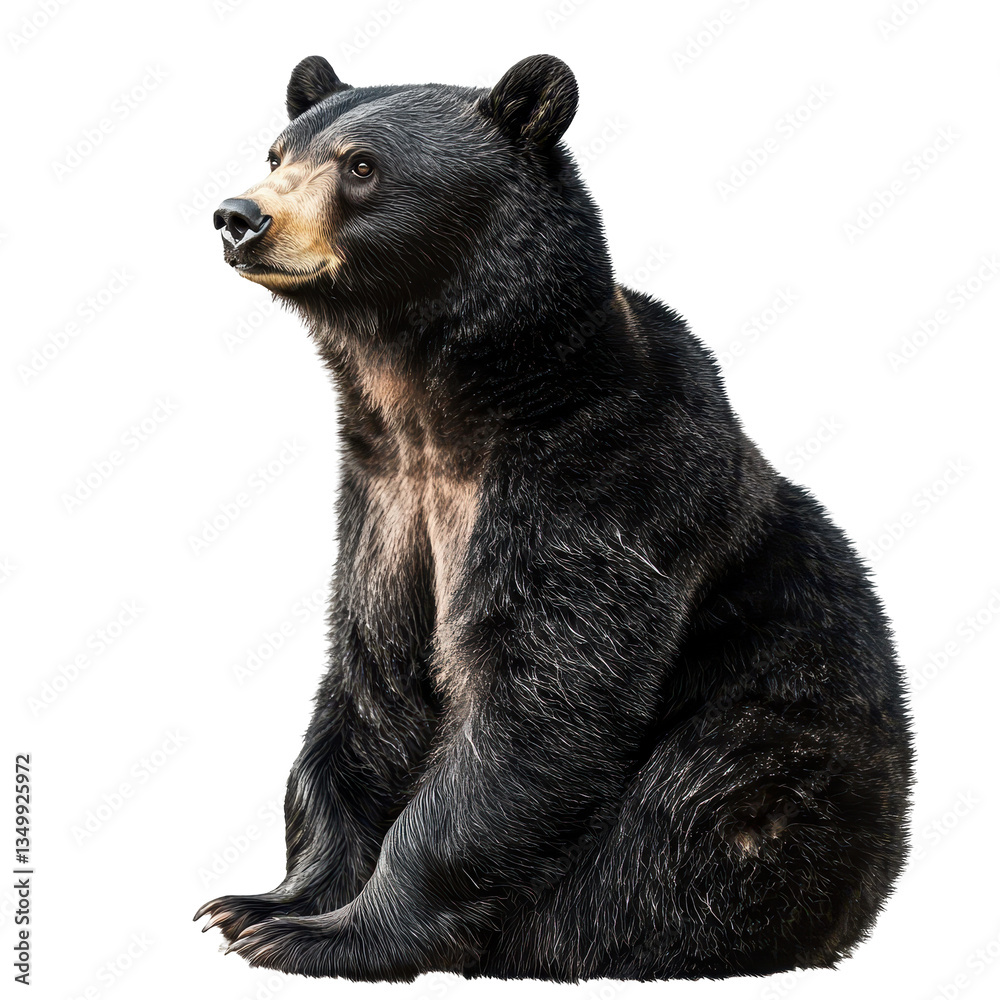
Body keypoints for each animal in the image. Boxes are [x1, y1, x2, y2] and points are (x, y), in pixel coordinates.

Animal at [195, 54, 913, 982]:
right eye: (278, 151)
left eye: (360, 165)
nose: (239, 217)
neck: (451, 407)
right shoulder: (383, 502)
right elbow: (370, 678)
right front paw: (264, 904)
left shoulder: (596, 487)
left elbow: (541, 700)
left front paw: (331, 935)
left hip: (769, 773)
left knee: (681, 819)